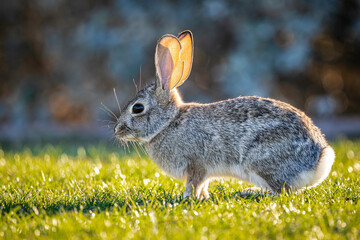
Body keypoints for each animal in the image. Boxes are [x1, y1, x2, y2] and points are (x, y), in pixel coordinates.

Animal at [112, 30, 334, 199]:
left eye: (137, 108)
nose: (116, 130)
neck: (168, 123)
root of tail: (318, 159)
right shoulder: (203, 170)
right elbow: (203, 184)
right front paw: (202, 197)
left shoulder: (196, 164)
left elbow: (194, 183)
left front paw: (186, 198)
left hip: (261, 161)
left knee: (281, 191)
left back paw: (251, 193)